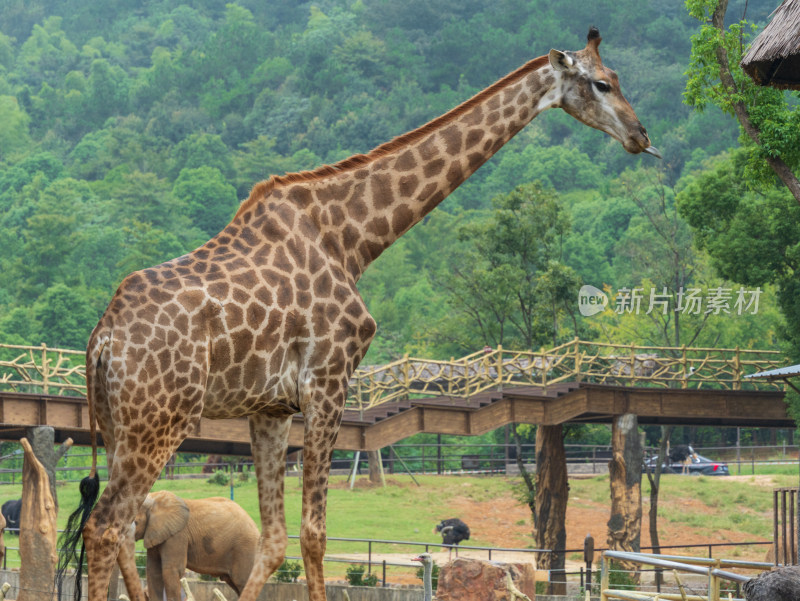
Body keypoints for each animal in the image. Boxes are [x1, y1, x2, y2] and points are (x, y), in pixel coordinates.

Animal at [62, 25, 660, 596]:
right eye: (601, 84)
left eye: (618, 79)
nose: (642, 136)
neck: (353, 239)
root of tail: (102, 339)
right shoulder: (327, 383)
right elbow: (313, 535)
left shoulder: (270, 408)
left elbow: (275, 540)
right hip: (160, 420)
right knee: (107, 525)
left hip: (117, 426)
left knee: (115, 528)